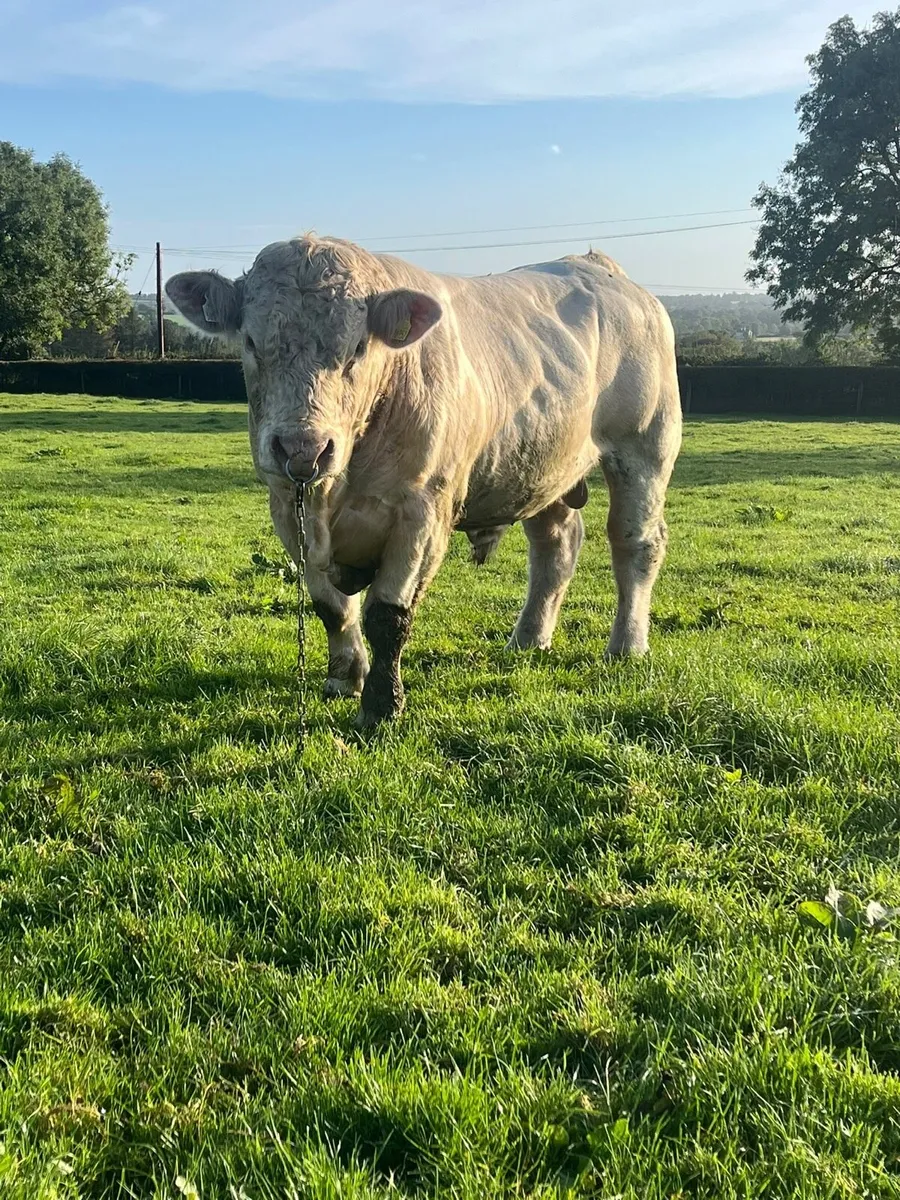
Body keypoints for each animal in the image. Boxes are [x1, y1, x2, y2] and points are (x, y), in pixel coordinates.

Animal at [166, 236, 682, 729]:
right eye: (252, 342)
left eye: (358, 347)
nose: (302, 449)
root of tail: (600, 267)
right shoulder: (287, 510)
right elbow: (332, 607)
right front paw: (344, 677)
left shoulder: (421, 513)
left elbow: (387, 615)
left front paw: (381, 706)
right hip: (540, 462)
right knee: (556, 545)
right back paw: (529, 639)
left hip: (645, 448)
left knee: (636, 542)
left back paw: (627, 645)